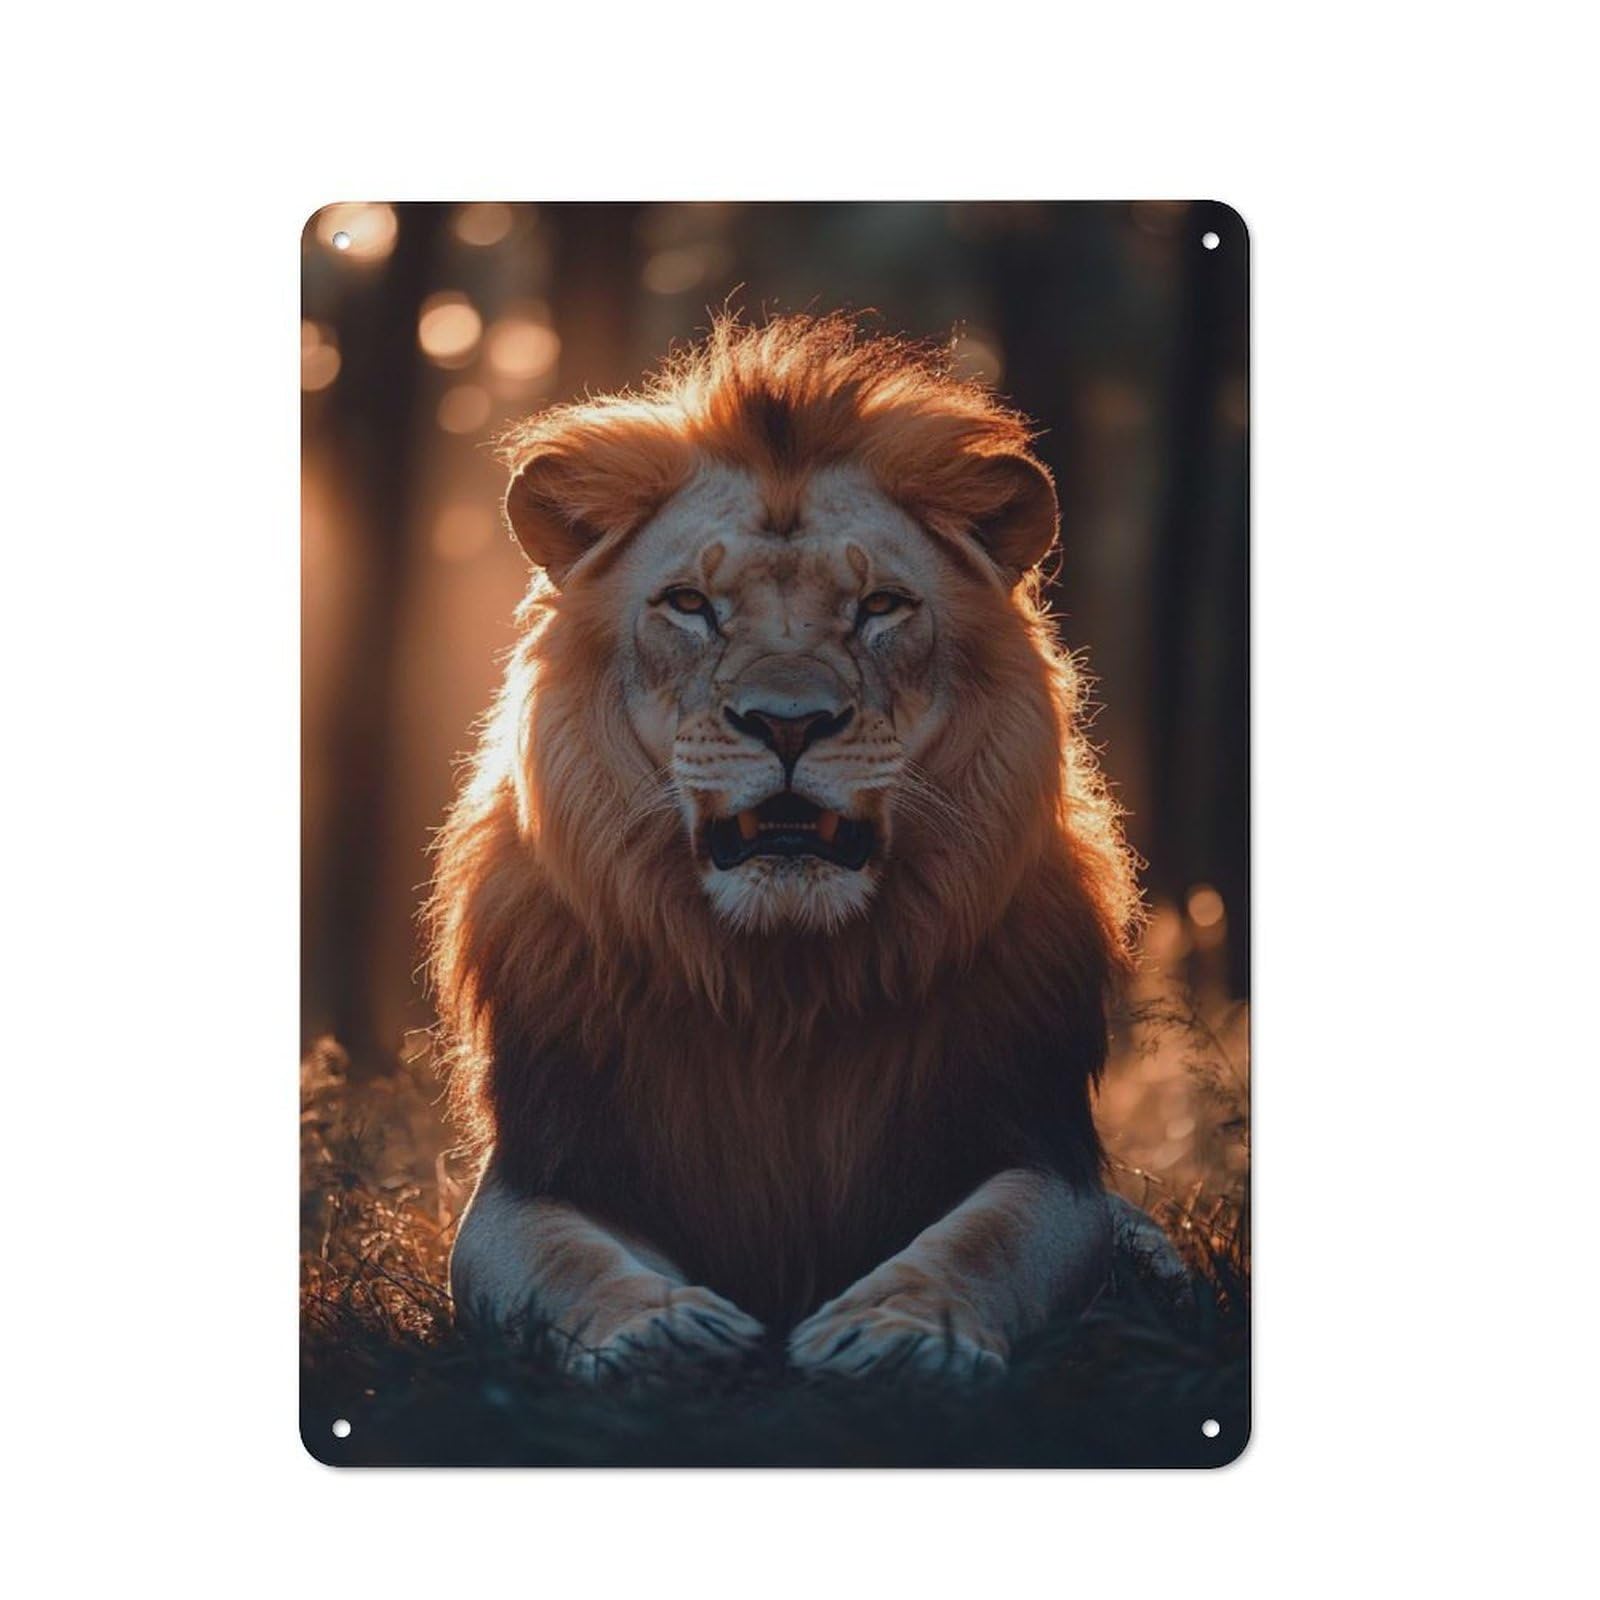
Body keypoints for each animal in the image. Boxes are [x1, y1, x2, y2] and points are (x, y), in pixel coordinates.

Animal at [431, 312, 1166, 1381]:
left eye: (881, 606)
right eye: (690, 604)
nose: (787, 723)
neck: (783, 986)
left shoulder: (1037, 1147)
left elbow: (989, 1240)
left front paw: (900, 1331)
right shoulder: (542, 1169)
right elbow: (568, 1259)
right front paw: (662, 1329)